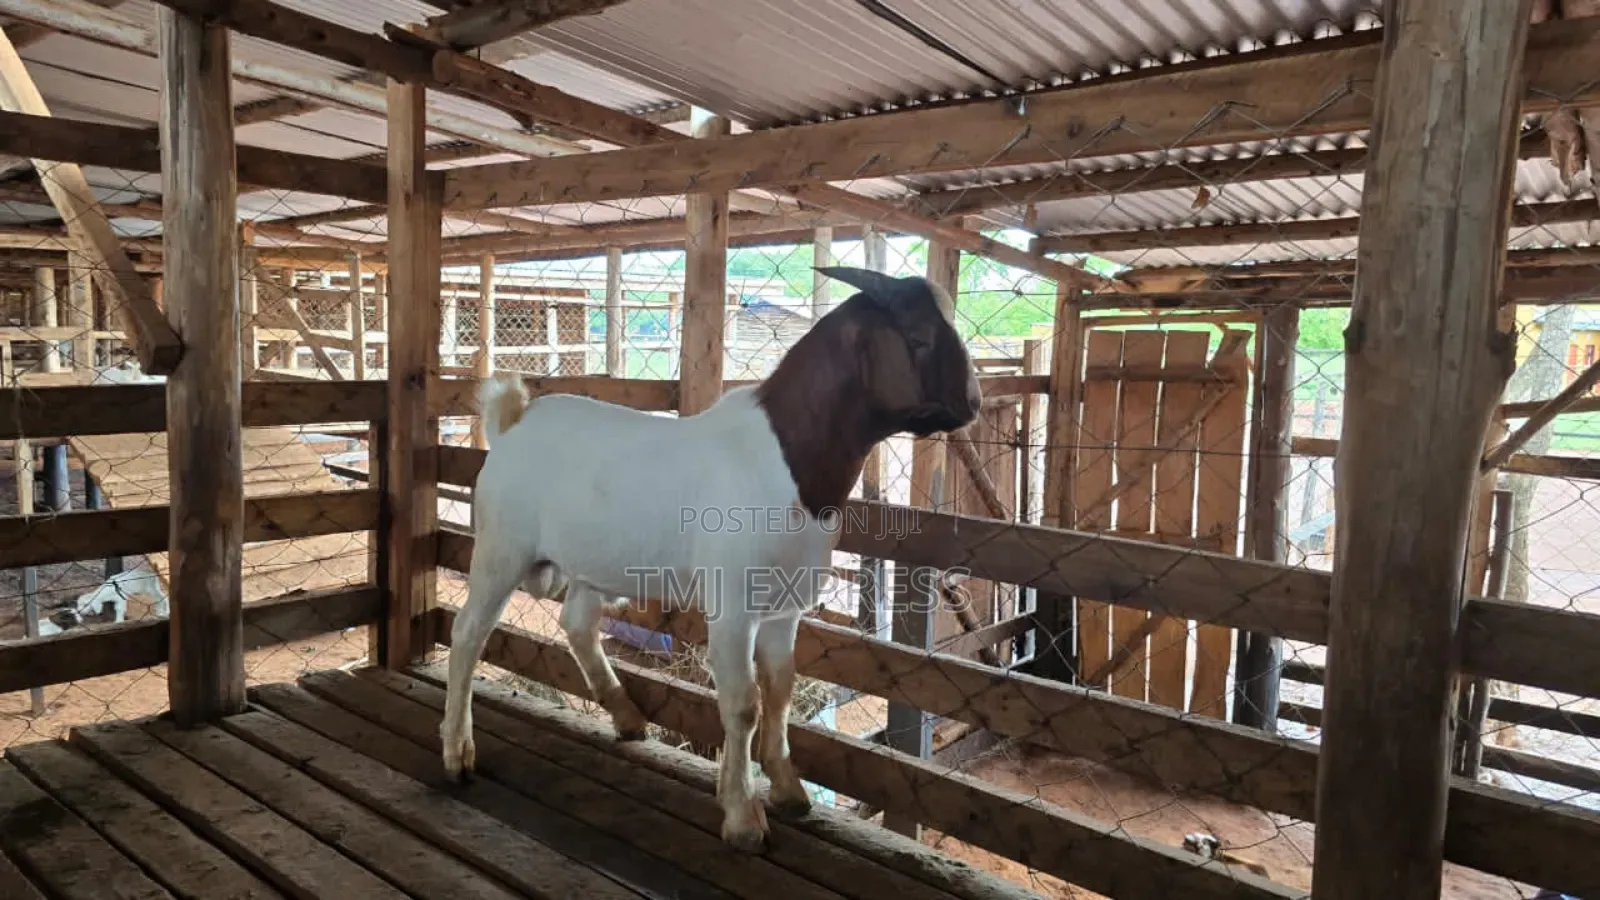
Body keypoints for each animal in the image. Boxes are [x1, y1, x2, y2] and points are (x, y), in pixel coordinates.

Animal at [441, 266, 982, 852]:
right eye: (918, 337)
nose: (973, 403)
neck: (789, 462)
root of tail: (513, 424)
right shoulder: (734, 606)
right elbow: (743, 703)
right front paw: (743, 816)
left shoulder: (784, 608)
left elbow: (780, 689)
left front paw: (787, 790)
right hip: (501, 546)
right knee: (468, 633)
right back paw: (457, 754)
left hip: (593, 559)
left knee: (577, 622)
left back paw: (626, 715)